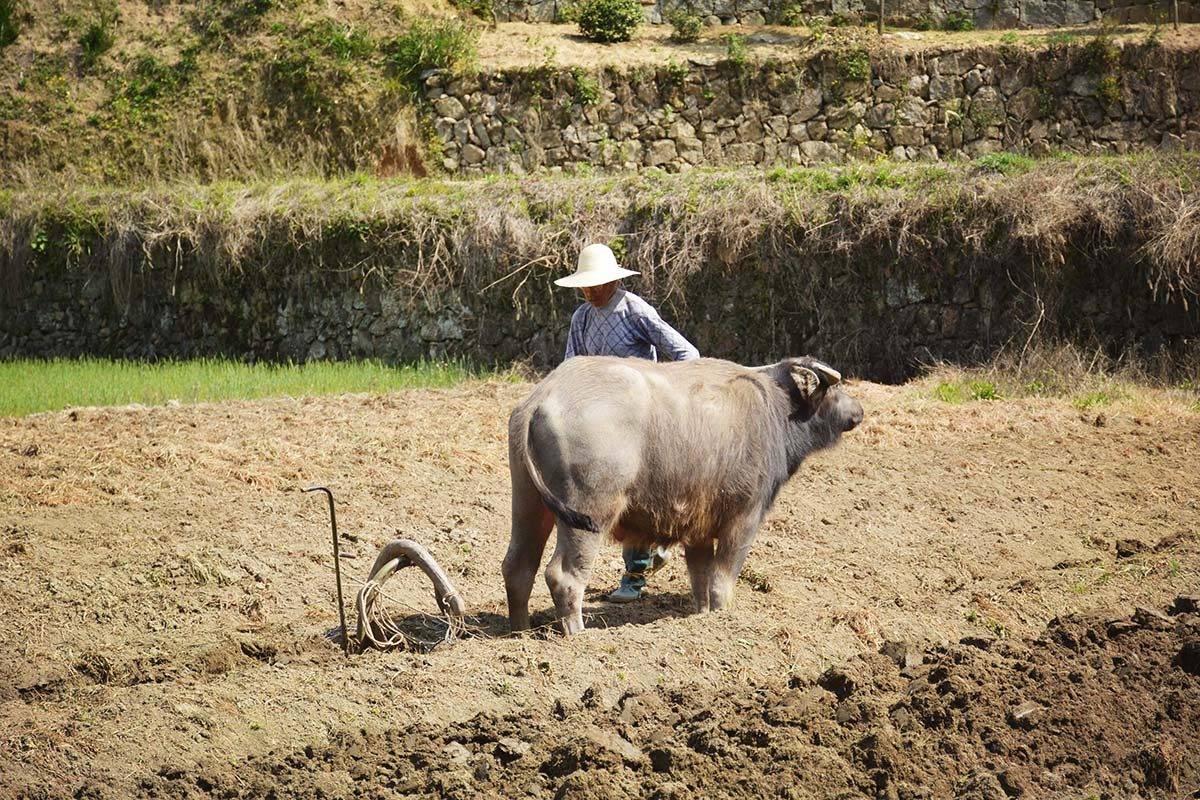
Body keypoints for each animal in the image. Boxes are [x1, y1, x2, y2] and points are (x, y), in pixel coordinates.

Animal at [499, 352, 864, 633]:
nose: (858, 410)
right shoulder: (743, 518)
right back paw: (576, 632)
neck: (774, 409)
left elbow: (700, 578)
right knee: (563, 576)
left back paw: (521, 630)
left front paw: (701, 616)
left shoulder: (697, 528)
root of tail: (543, 397)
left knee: (518, 565)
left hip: (529, 502)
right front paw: (721, 616)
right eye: (835, 387)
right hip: (589, 514)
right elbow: (721, 579)